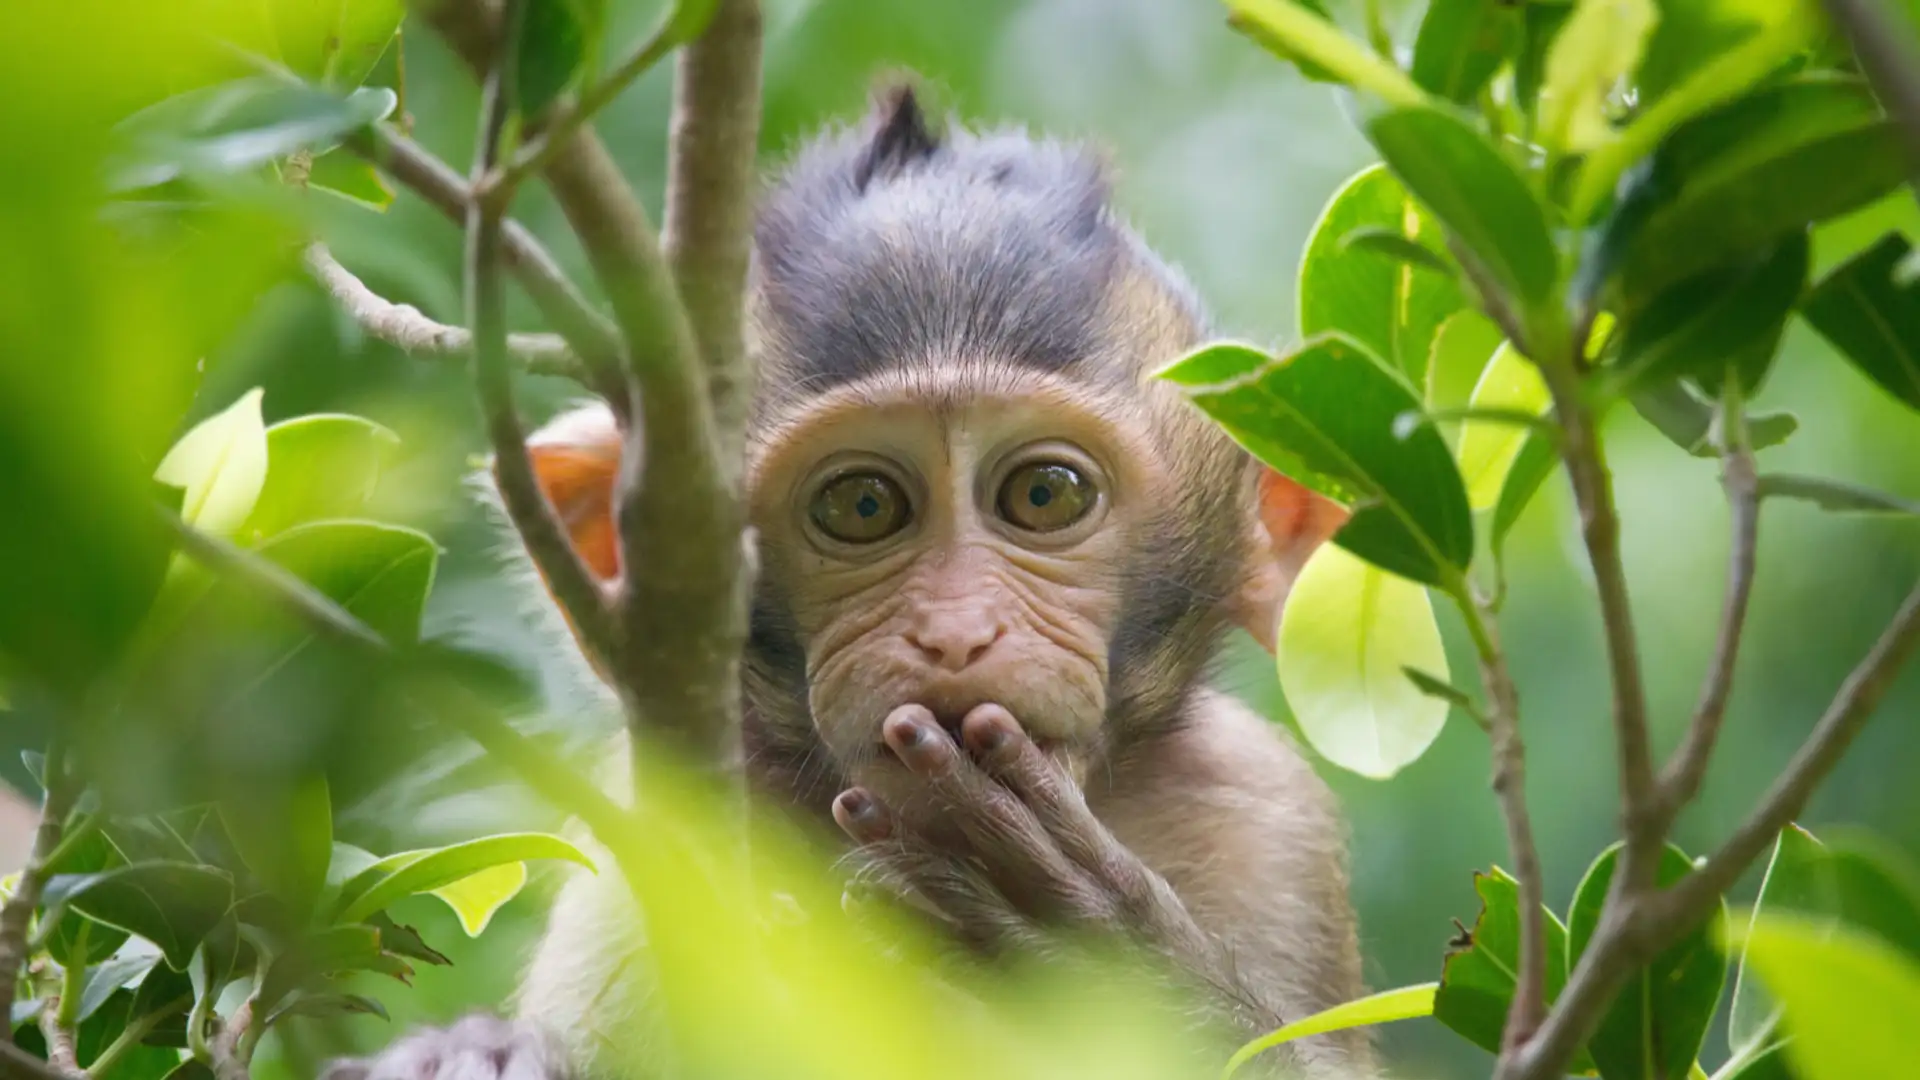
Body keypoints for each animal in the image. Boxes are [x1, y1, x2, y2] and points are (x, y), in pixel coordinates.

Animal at [326, 83, 1373, 1080]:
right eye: (863, 505)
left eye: (1044, 493)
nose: (954, 630)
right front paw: (473, 1056)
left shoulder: (1264, 818)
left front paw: (1107, 963)